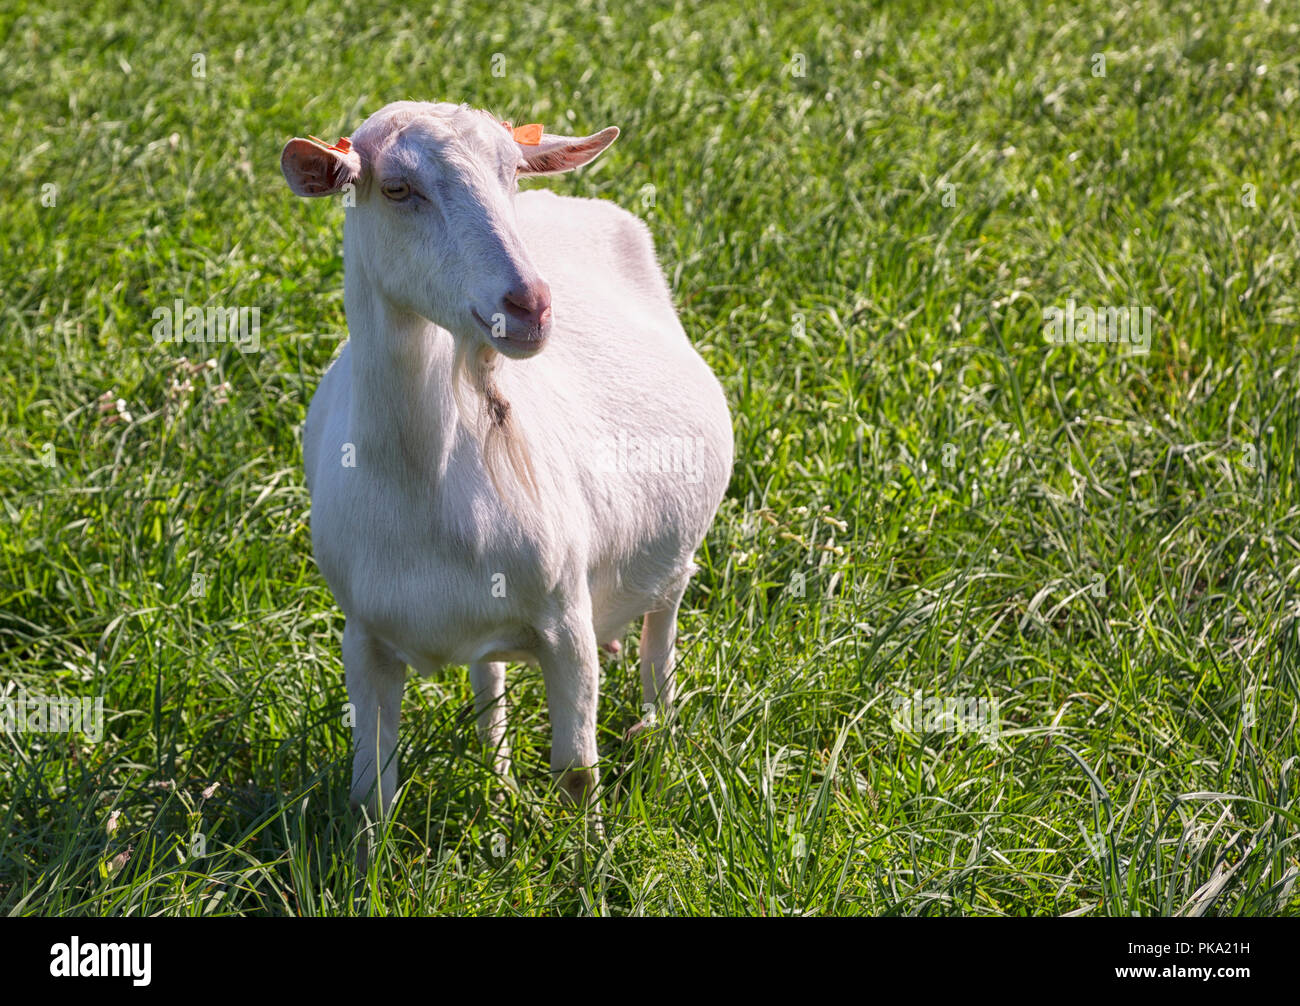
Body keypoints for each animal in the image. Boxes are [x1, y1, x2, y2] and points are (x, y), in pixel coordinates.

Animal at [280, 101, 732, 814]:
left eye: (511, 172)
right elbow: (373, 792)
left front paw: (588, 847)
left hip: (675, 555)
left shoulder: (567, 621)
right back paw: (498, 790)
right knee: (488, 688)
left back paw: (659, 739)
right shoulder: (364, 638)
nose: (530, 305)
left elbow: (576, 774)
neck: (422, 482)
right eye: (398, 188)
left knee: (660, 638)